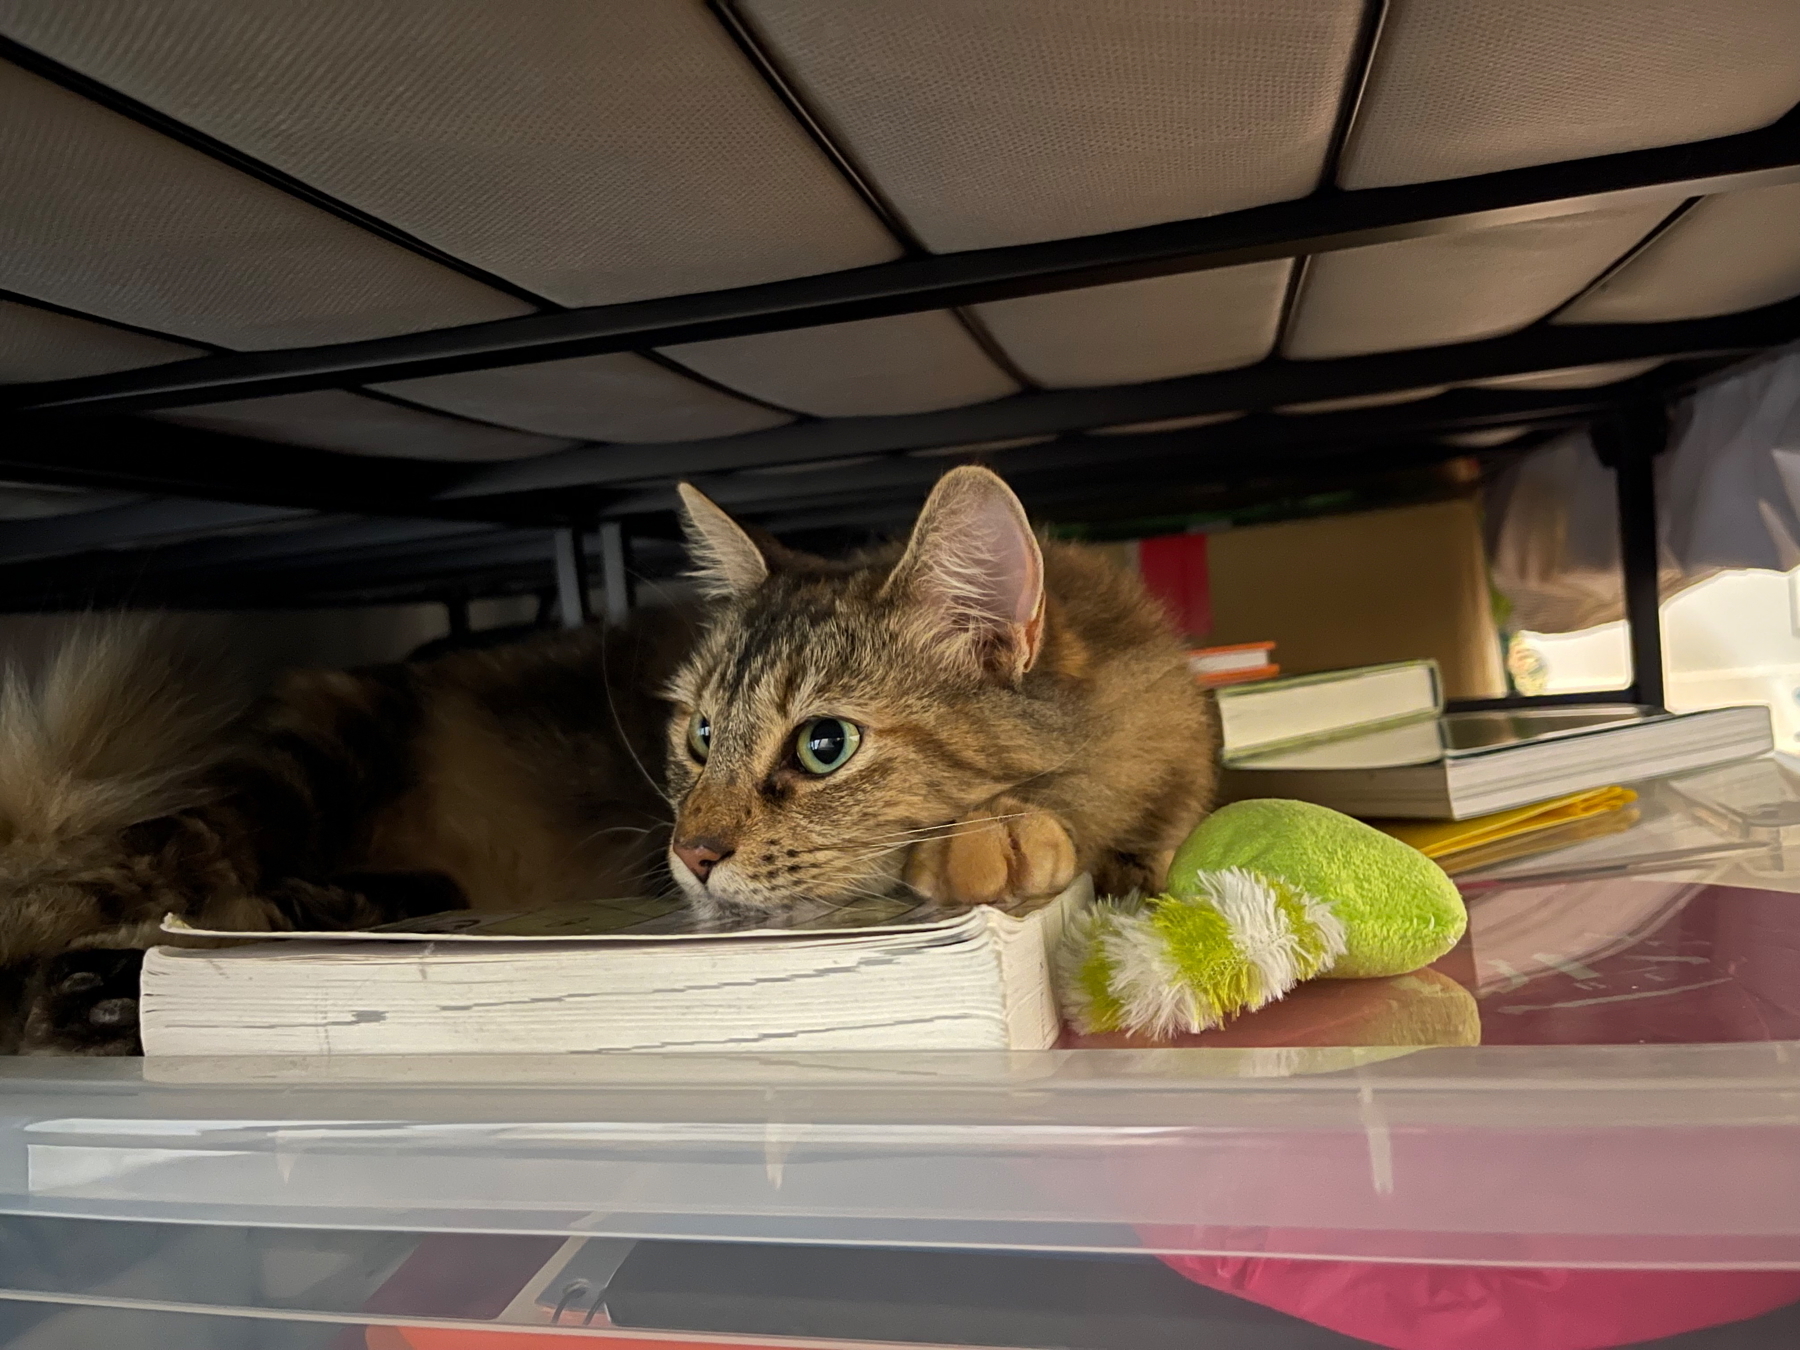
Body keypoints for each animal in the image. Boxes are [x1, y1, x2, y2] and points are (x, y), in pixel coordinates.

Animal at [0, 468, 1224, 1058]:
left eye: (822, 744)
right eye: (698, 736)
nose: (689, 855)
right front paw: (1004, 839)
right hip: (278, 782)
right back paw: (99, 994)